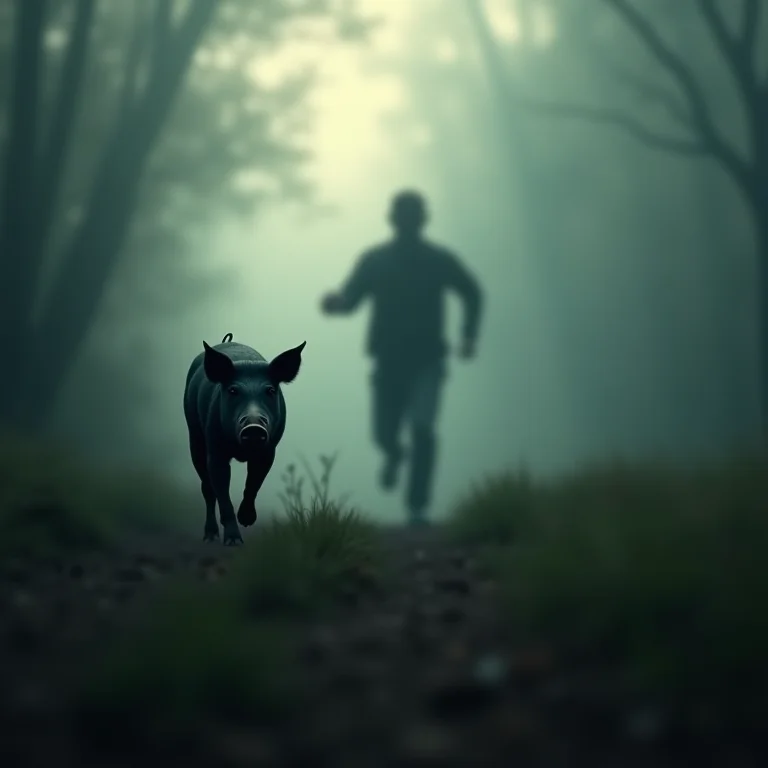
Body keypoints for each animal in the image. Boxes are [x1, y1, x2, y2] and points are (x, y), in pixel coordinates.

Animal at [183, 334, 306, 545]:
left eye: (270, 390)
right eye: (233, 390)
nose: (254, 426)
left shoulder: (268, 450)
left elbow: (254, 483)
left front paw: (247, 520)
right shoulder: (215, 450)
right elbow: (221, 489)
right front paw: (234, 542)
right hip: (195, 436)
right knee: (207, 488)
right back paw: (210, 537)